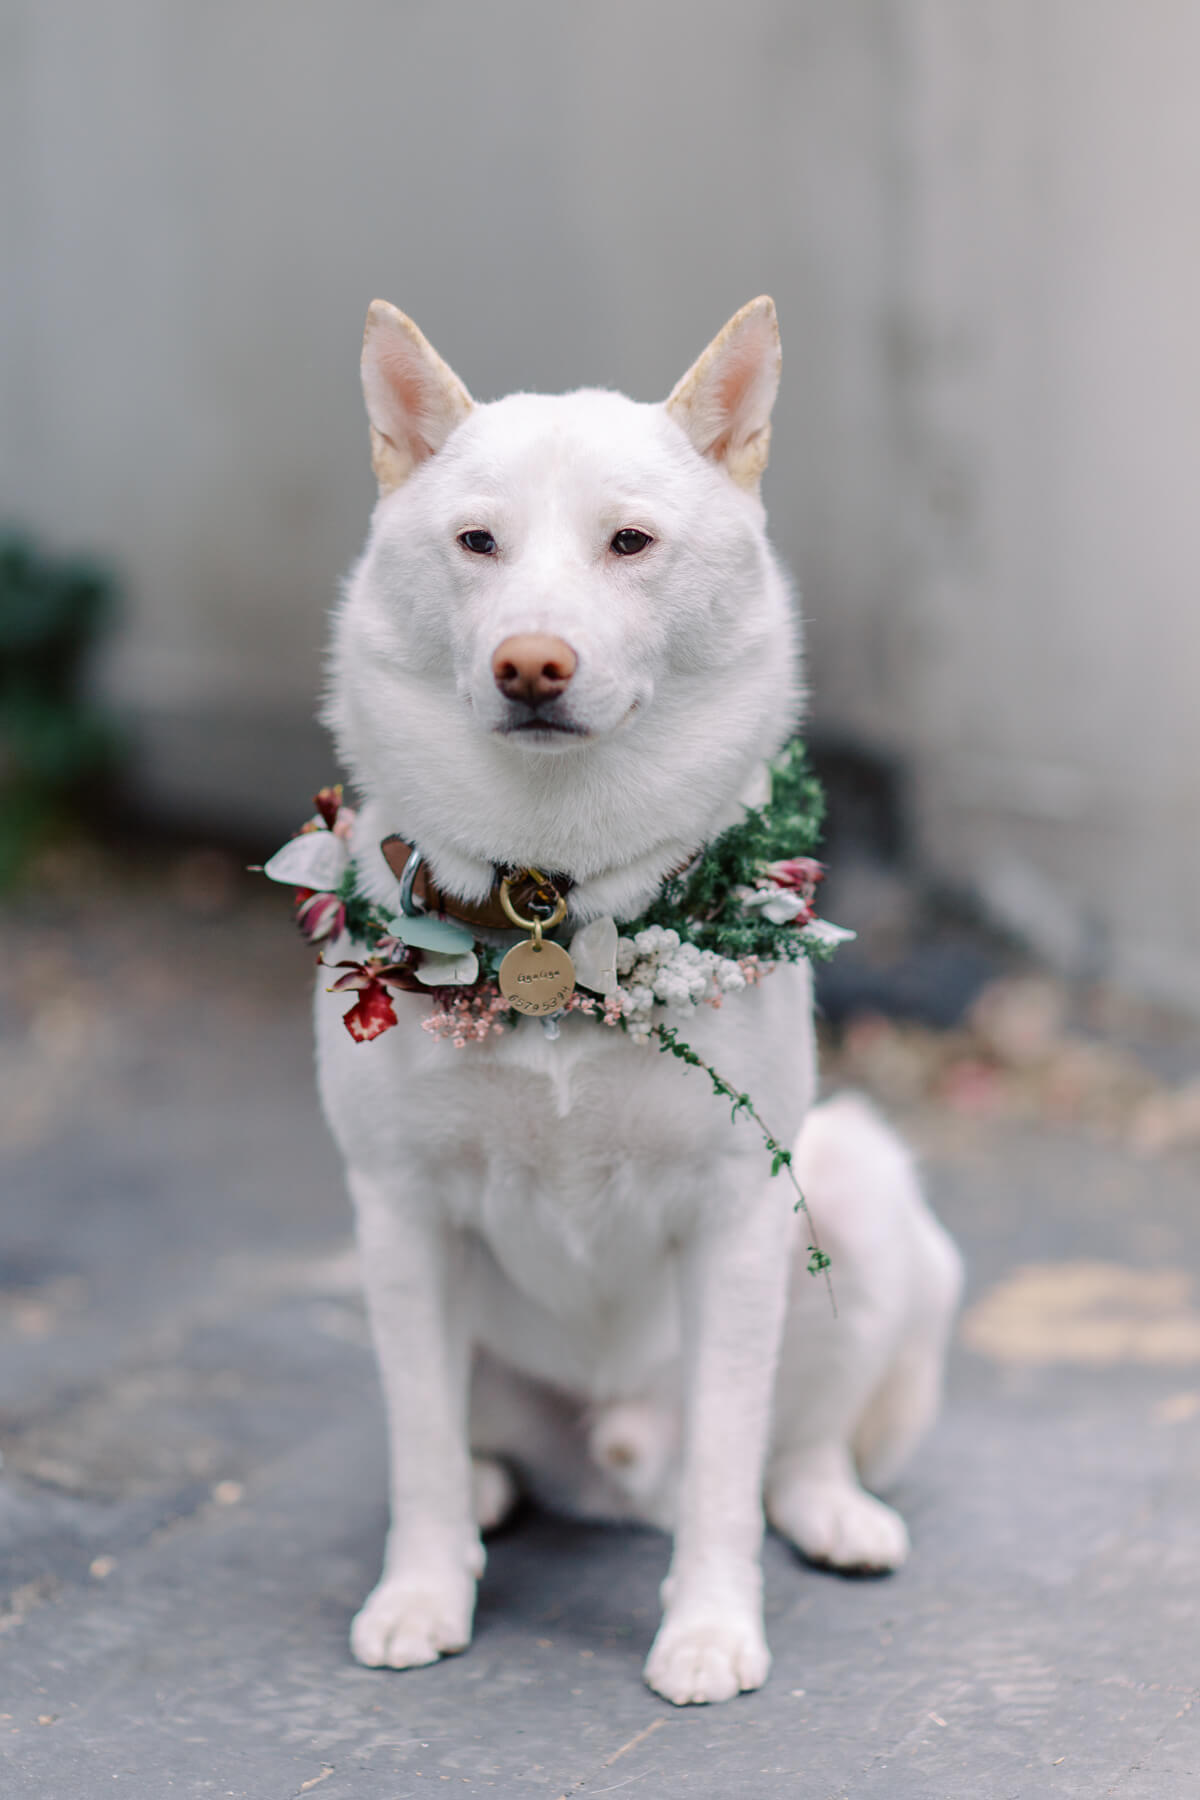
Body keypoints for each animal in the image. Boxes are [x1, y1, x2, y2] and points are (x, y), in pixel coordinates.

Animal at [313, 295, 964, 1699]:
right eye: (477, 542)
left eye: (630, 542)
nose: (531, 665)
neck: (554, 897)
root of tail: (618, 1469)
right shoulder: (399, 1212)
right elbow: (418, 1444)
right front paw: (422, 1590)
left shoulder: (735, 1217)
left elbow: (729, 1462)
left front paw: (711, 1625)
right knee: (464, 1439)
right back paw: (492, 1494)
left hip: (858, 1201)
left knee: (792, 1447)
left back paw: (833, 1514)